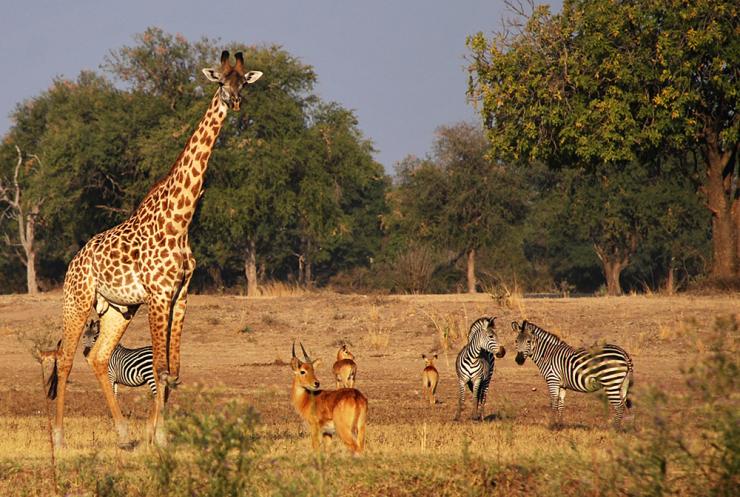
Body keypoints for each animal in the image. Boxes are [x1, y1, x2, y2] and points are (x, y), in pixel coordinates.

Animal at [47, 51, 264, 450]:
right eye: (219, 81)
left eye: (243, 82)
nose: (235, 102)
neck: (180, 221)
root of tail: (74, 261)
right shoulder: (158, 295)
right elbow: (161, 370)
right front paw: (159, 438)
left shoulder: (181, 293)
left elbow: (174, 372)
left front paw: (157, 435)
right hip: (77, 300)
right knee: (66, 358)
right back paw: (60, 439)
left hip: (118, 309)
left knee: (98, 357)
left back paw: (123, 436)